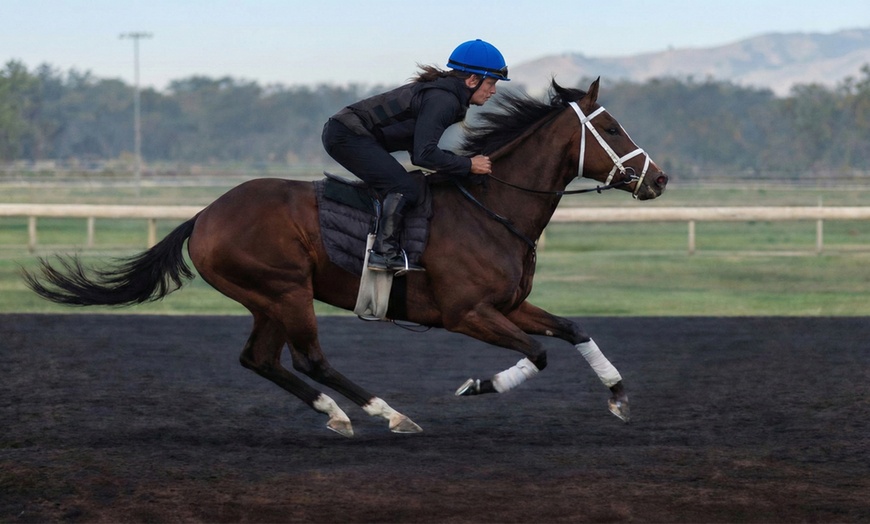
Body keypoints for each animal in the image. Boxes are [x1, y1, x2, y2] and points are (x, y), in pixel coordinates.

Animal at [24, 79, 668, 437]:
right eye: (612, 126)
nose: (659, 179)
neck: (491, 208)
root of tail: (204, 215)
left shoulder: (510, 304)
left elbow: (572, 329)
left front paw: (617, 394)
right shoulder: (466, 313)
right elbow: (536, 353)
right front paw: (477, 385)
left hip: (268, 298)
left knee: (260, 359)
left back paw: (338, 414)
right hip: (284, 290)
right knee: (309, 358)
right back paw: (387, 413)